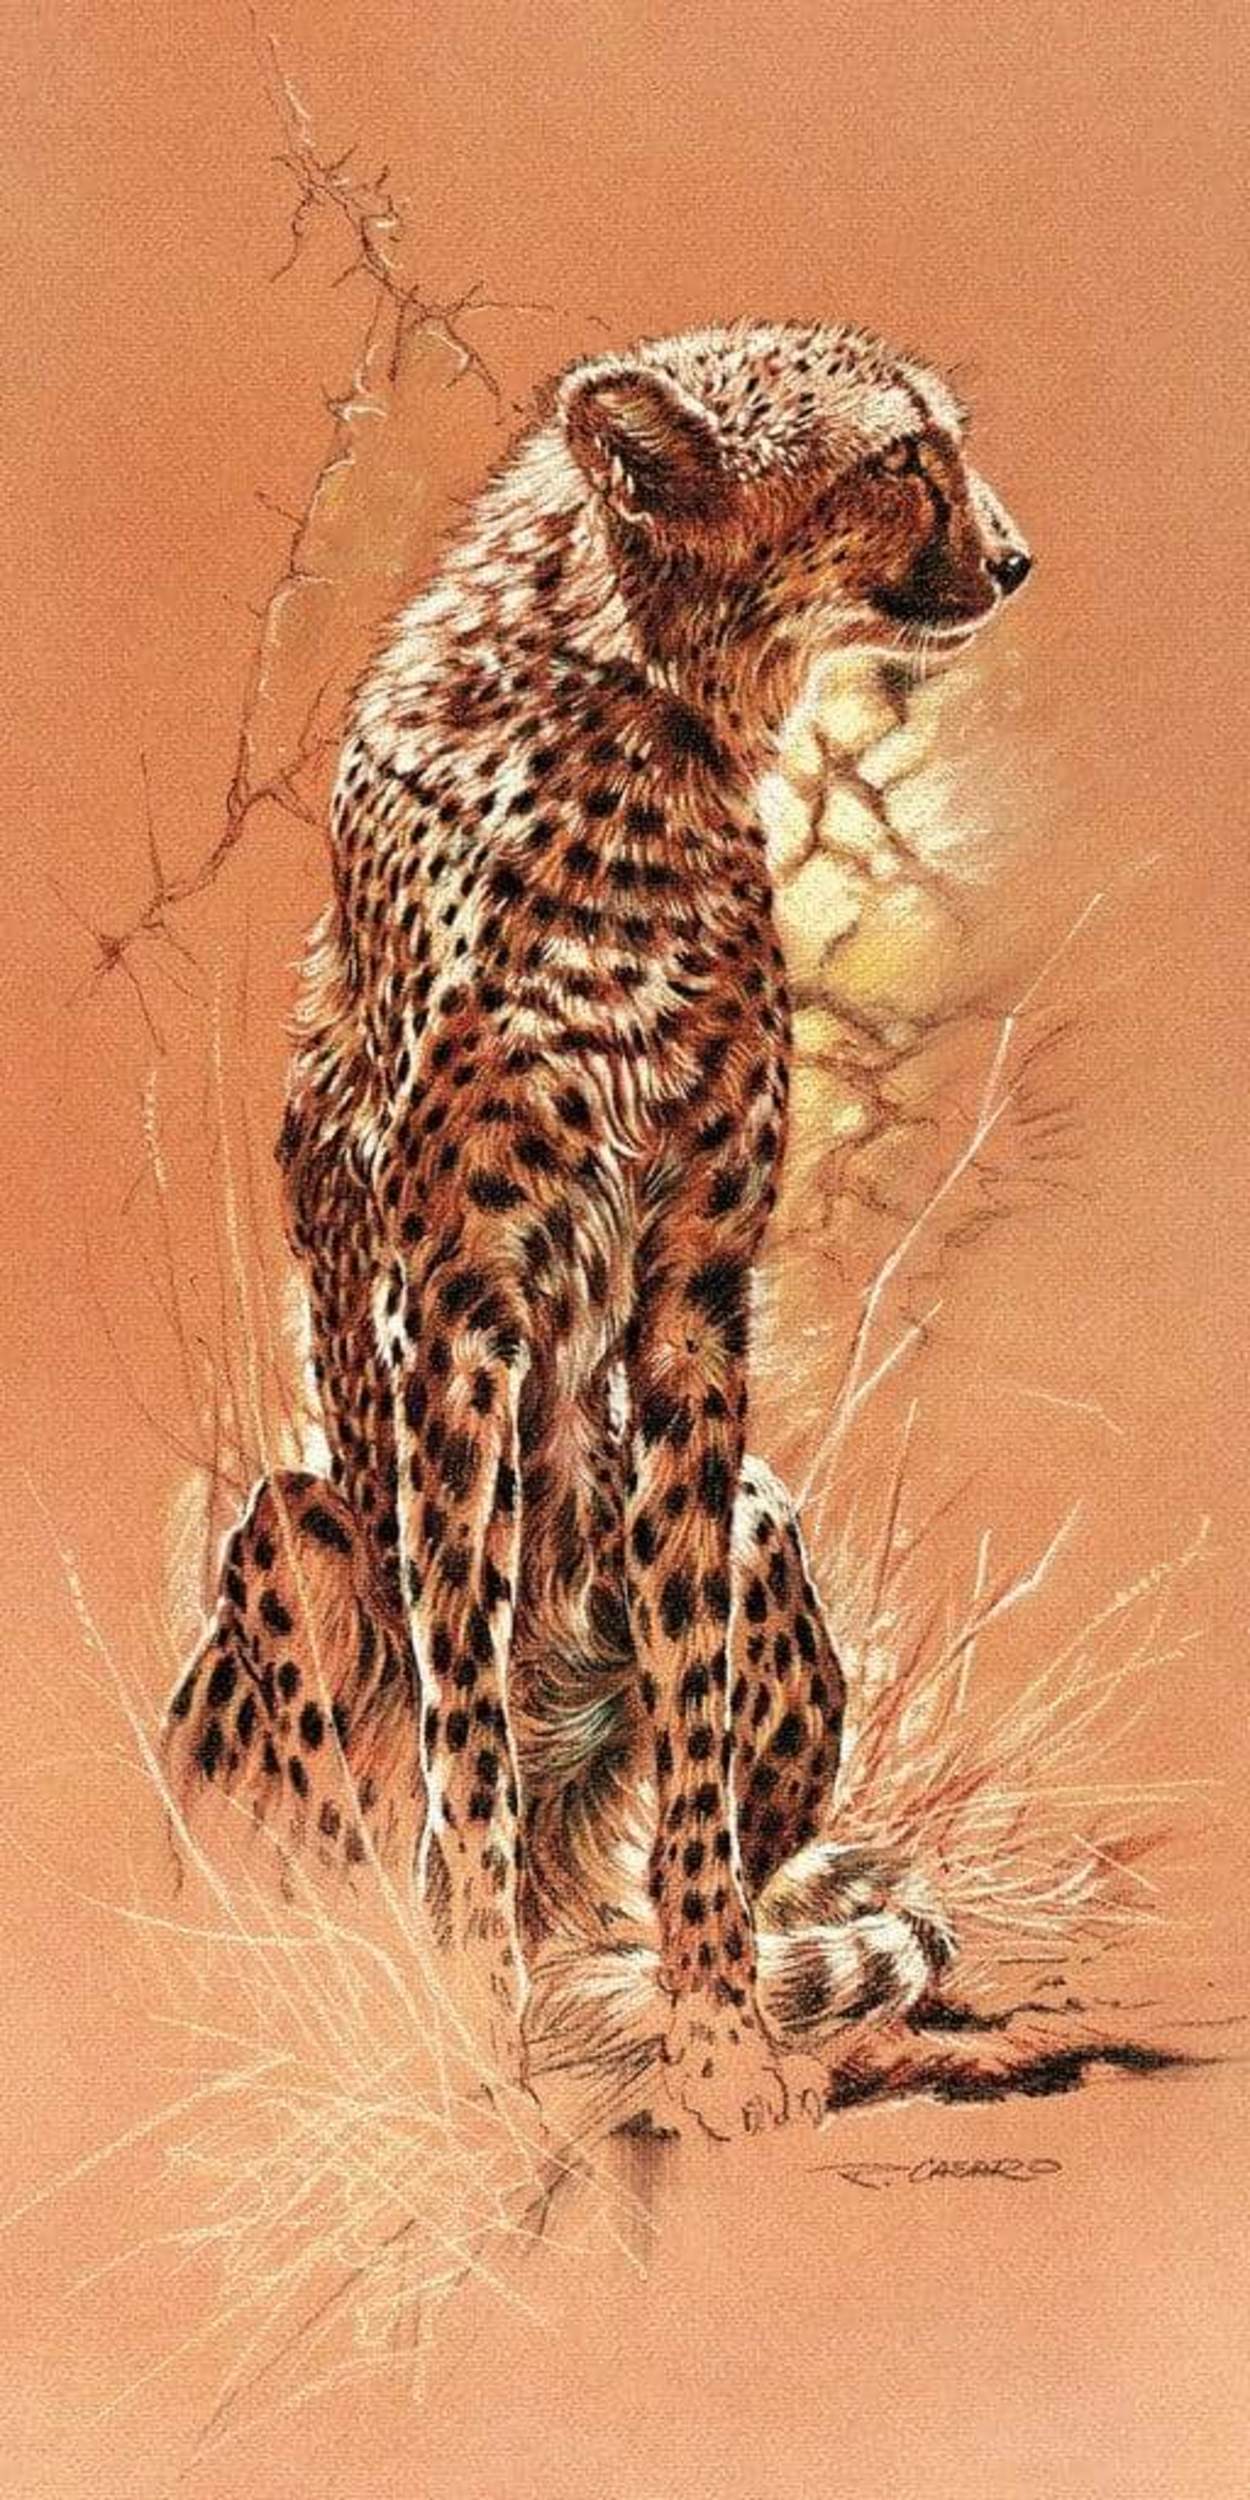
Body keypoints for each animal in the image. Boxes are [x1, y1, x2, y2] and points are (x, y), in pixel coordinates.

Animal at [164, 318, 1031, 2141]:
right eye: (899, 456)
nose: (1012, 558)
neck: (637, 723)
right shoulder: (455, 1303)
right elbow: (466, 1714)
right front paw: (467, 2040)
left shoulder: (695, 1292)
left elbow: (690, 1721)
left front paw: (718, 2039)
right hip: (295, 1522)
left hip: (768, 1513)